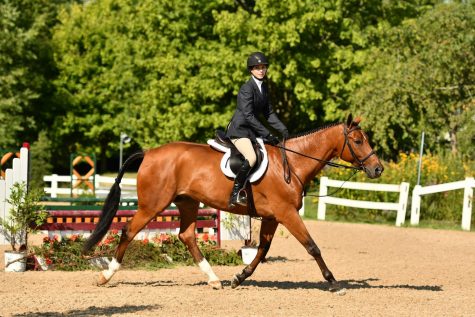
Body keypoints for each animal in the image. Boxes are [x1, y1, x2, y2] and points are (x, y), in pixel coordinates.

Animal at [83, 113, 384, 292]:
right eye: (358, 141)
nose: (378, 169)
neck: (293, 162)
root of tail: (149, 153)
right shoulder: (286, 213)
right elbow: (312, 246)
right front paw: (333, 281)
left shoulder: (273, 216)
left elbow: (262, 250)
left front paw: (239, 277)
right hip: (152, 205)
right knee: (128, 231)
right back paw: (106, 276)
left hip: (188, 203)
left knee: (187, 236)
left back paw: (214, 279)